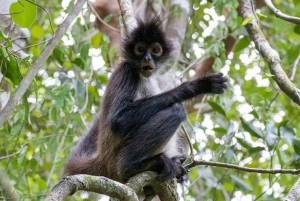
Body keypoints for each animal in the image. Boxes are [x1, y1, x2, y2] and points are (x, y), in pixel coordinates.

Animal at [63, 16, 227, 184]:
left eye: (155, 50)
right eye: (140, 49)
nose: (147, 58)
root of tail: (103, 159)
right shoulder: (126, 72)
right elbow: (118, 120)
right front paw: (195, 86)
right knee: (176, 110)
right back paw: (131, 166)